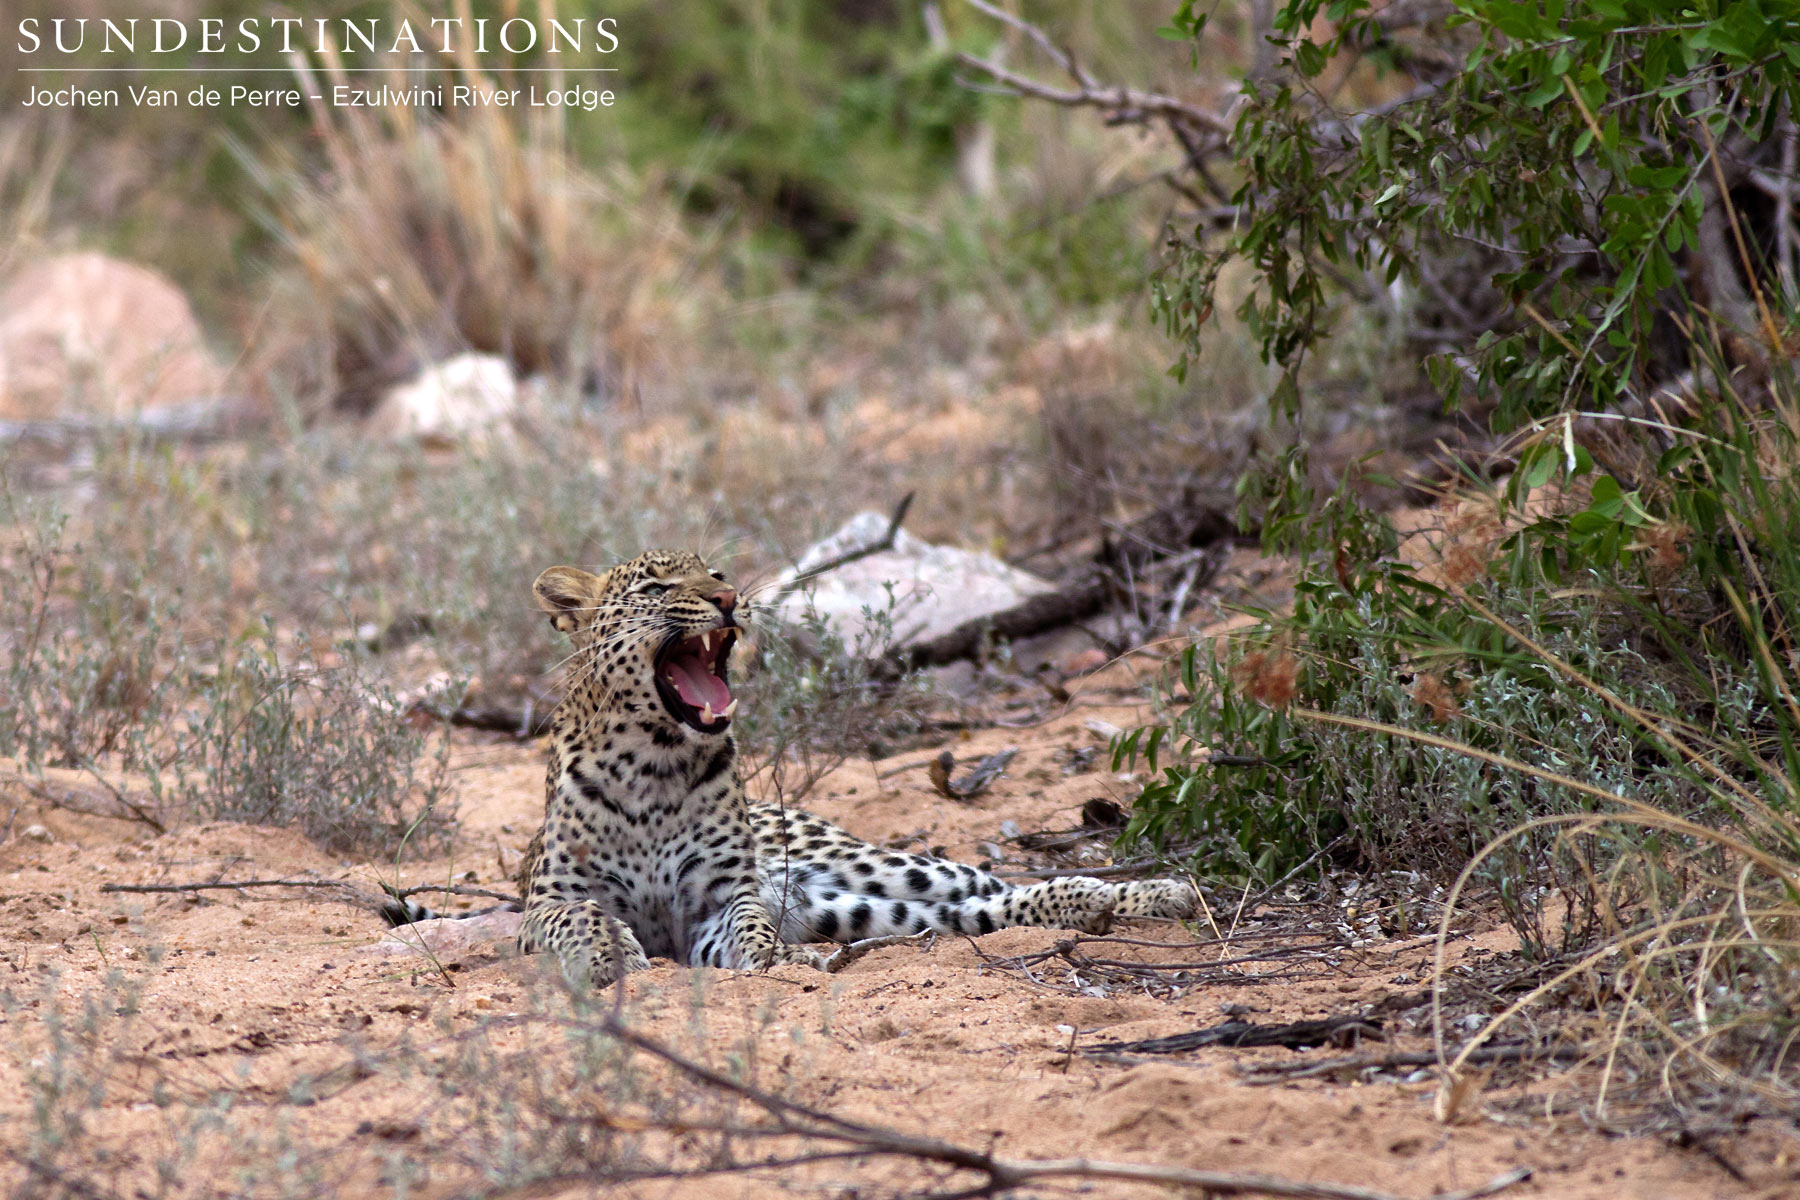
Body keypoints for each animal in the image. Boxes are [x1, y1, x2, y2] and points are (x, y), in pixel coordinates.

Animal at [386, 549, 1199, 988]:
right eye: (657, 588)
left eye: (715, 572)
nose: (727, 597)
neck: (652, 762)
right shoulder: (551, 900)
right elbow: (578, 917)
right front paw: (611, 956)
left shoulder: (718, 902)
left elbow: (751, 928)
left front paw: (778, 961)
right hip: (864, 909)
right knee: (979, 914)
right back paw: (1101, 907)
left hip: (877, 866)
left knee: (992, 882)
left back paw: (1151, 893)